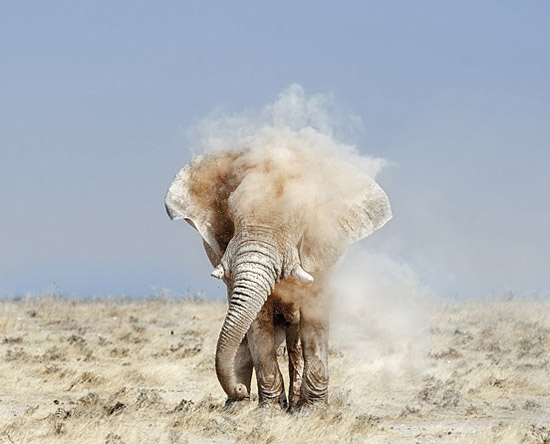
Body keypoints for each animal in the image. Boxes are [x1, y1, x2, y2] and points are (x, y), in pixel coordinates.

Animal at [164, 133, 392, 410]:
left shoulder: (322, 247)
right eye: (231, 213)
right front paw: (268, 410)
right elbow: (258, 319)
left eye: (300, 220)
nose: (239, 390)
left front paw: (312, 410)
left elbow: (314, 315)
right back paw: (238, 407)